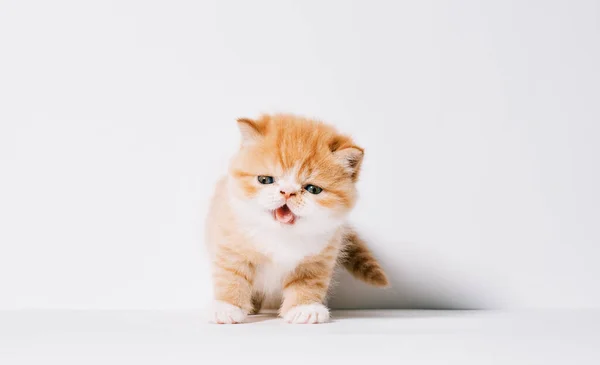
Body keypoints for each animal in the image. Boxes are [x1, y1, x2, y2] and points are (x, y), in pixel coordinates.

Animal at [206, 114, 390, 324]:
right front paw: (227, 307)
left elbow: (307, 282)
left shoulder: (318, 257)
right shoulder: (231, 244)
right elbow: (232, 276)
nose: (287, 192)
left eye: (313, 189)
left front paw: (305, 308)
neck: (281, 235)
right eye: (265, 179)